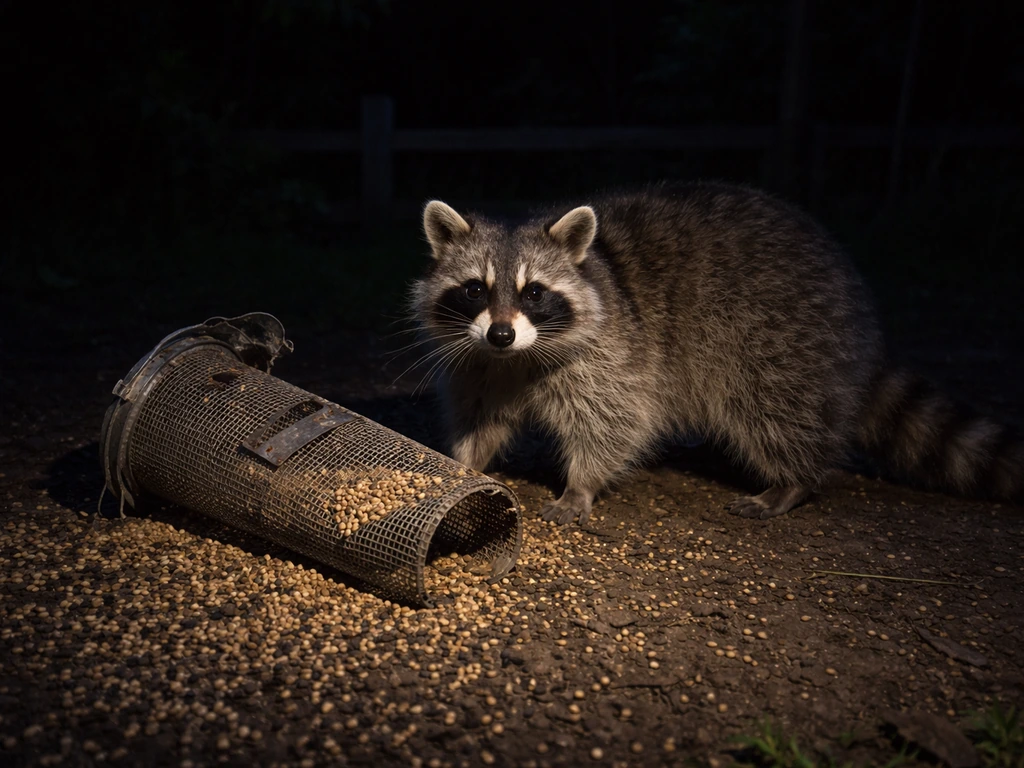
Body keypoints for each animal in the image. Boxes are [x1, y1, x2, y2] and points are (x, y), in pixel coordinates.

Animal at [410, 182, 1023, 525]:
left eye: (534, 293)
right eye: (474, 289)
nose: (501, 335)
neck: (516, 360)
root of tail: (858, 315)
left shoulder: (615, 356)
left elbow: (613, 422)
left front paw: (581, 483)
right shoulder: (476, 364)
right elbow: (480, 418)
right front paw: (460, 463)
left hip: (780, 340)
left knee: (774, 410)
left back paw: (794, 479)